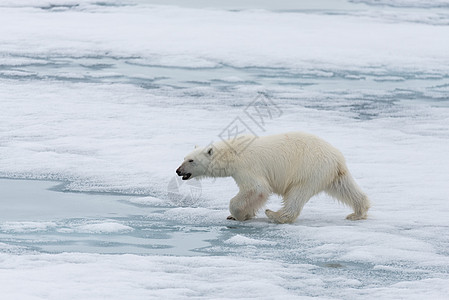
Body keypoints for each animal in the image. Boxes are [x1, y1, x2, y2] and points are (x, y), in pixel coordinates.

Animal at [174, 131, 368, 223]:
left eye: (191, 160)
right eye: (184, 157)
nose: (178, 171)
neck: (232, 153)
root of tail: (337, 159)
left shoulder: (247, 166)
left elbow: (257, 189)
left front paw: (238, 214)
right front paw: (244, 214)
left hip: (308, 170)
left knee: (296, 195)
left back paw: (275, 215)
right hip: (330, 173)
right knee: (346, 188)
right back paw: (357, 212)